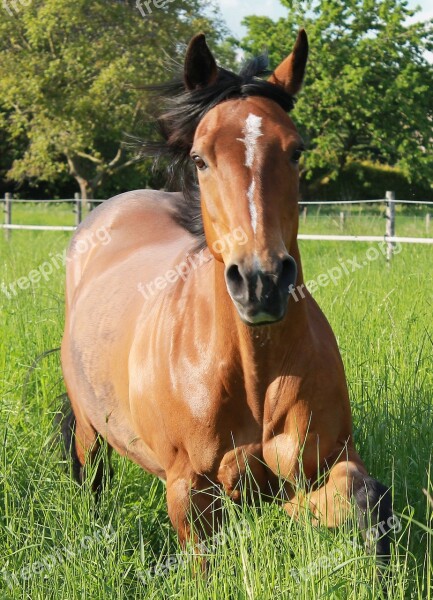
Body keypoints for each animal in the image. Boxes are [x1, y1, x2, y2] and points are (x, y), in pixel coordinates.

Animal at [59, 31, 394, 556]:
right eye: (200, 158)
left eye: (296, 151)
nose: (261, 282)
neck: (254, 378)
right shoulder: (191, 491)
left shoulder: (321, 465)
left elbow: (368, 499)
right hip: (91, 428)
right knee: (91, 476)